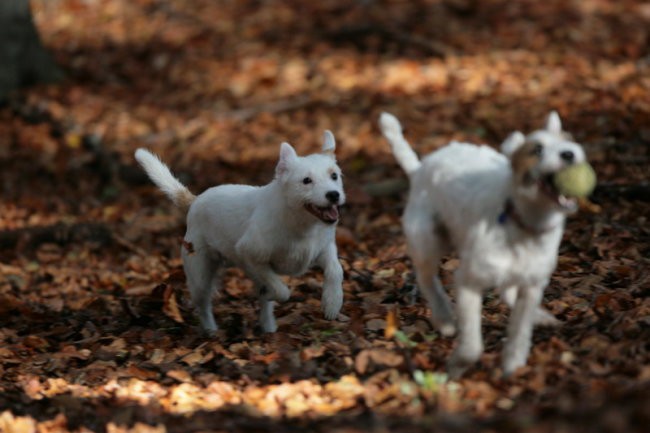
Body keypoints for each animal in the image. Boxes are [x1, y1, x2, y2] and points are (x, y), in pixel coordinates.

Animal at [133, 132, 344, 334]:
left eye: (334, 176)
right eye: (306, 181)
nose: (334, 195)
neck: (301, 222)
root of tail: (195, 200)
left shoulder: (324, 248)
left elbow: (336, 270)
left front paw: (332, 302)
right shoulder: (251, 255)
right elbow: (281, 290)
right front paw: (272, 293)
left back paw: (268, 328)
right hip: (200, 273)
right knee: (203, 305)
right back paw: (211, 331)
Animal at [380, 112, 588, 378]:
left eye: (568, 140)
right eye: (537, 149)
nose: (569, 154)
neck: (523, 224)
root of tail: (420, 169)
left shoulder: (532, 286)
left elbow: (520, 331)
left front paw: (513, 365)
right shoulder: (469, 284)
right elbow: (472, 346)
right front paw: (455, 369)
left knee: (507, 291)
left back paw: (539, 316)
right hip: (427, 241)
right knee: (426, 278)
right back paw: (444, 317)